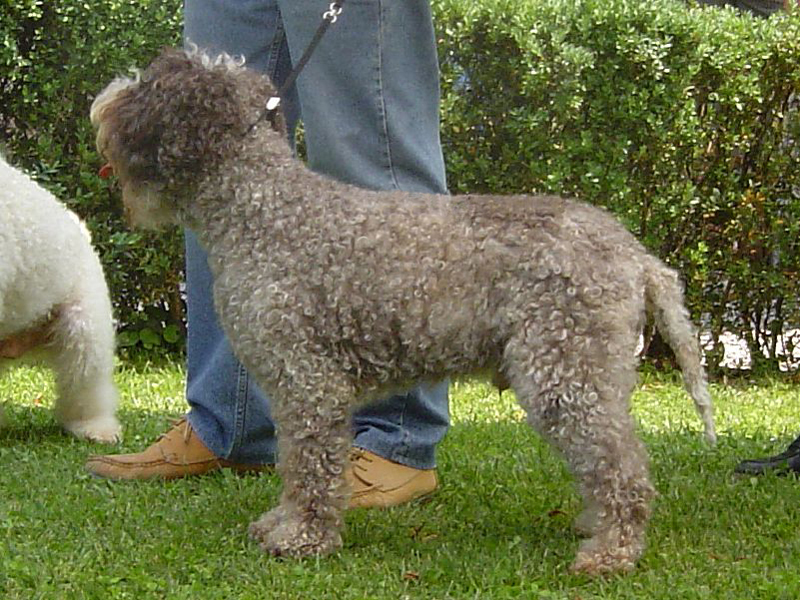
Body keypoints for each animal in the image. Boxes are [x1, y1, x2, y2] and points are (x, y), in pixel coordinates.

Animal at [91, 48, 715, 575]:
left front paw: (303, 537)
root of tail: (635, 254)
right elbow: (293, 463)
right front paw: (282, 523)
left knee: (623, 467)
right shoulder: (292, 387)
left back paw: (612, 551)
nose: (102, 101)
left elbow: (311, 467)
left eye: (148, 85)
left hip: (564, 373)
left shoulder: (308, 381)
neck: (265, 212)